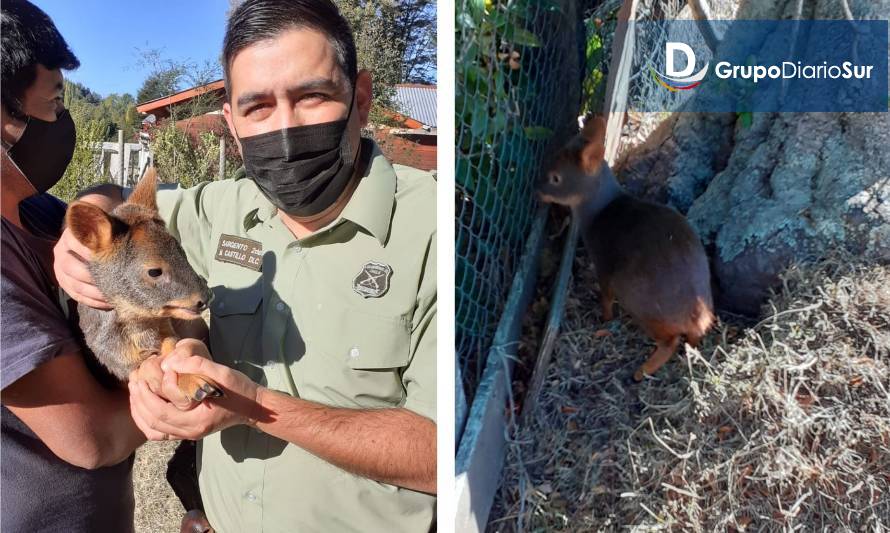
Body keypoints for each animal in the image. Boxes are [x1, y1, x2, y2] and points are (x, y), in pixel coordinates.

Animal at [66, 168, 222, 402]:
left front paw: (194, 380)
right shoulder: (107, 351)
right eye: (154, 271)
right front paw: (194, 384)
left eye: (183, 252)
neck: (141, 325)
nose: (205, 298)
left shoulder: (167, 330)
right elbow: (144, 364)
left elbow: (171, 349)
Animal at [536, 114, 716, 380]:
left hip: (636, 296)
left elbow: (606, 295)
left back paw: (642, 371)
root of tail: (696, 313)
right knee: (694, 336)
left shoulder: (603, 260)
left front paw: (604, 318)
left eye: (555, 178)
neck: (600, 209)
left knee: (670, 341)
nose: (537, 192)